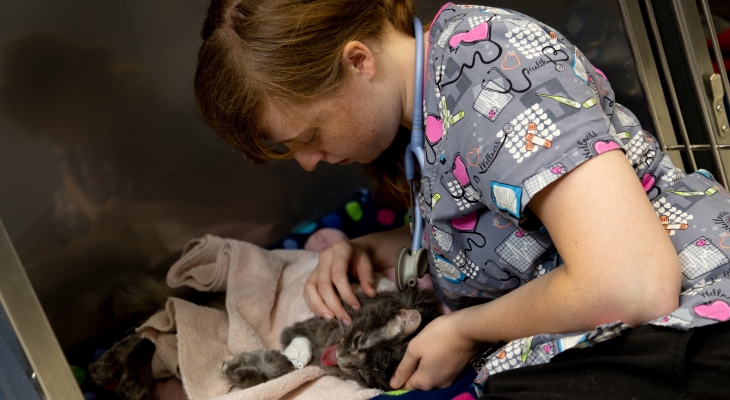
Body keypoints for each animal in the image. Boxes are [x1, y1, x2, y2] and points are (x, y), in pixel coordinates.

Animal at [219, 288, 440, 390]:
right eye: (359, 341)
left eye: (364, 372)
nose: (341, 361)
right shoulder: (301, 328)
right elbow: (282, 361)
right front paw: (238, 365)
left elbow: (283, 369)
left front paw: (236, 371)